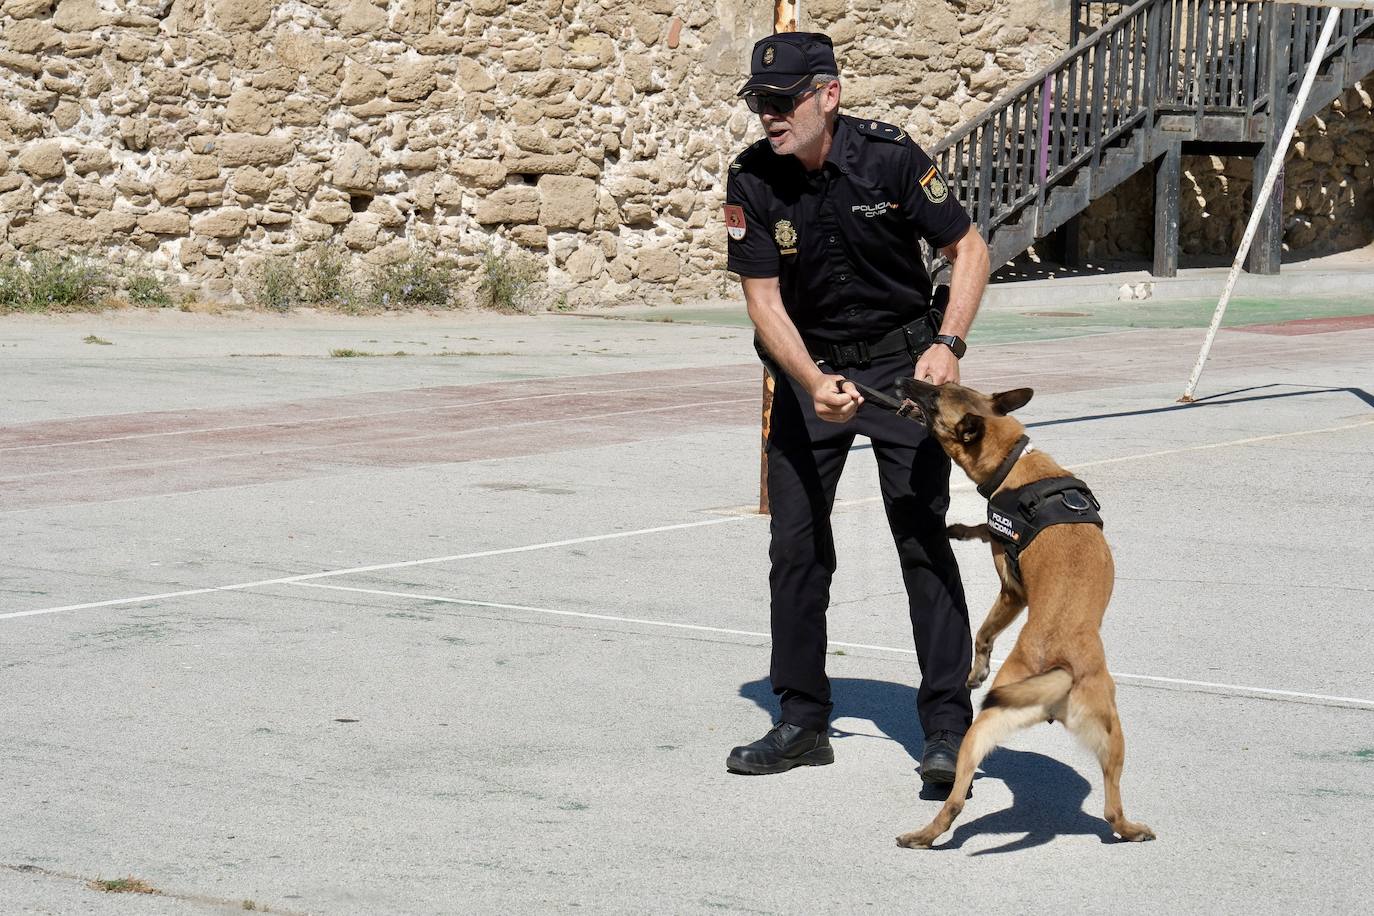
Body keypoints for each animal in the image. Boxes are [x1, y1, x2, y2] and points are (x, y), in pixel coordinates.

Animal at [884, 376, 1154, 851]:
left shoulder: (1012, 591)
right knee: (1106, 809)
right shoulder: (1012, 589)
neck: (1013, 461)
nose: (901, 380)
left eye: (934, 397)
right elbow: (983, 540)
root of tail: (1059, 666)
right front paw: (962, 528)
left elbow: (982, 630)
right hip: (1078, 737)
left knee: (957, 801)